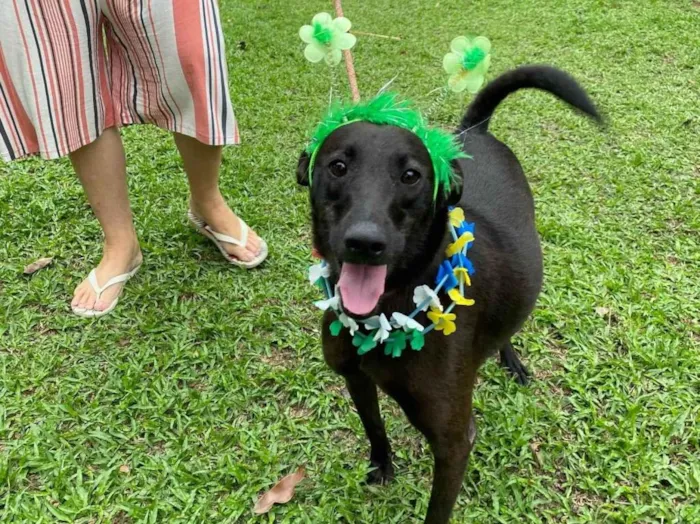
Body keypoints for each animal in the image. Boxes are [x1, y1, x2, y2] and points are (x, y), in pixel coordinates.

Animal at [296, 66, 600, 524]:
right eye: (337, 166)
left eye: (411, 176)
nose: (365, 243)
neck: (390, 310)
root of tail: (476, 131)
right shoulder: (355, 378)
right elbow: (375, 427)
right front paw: (381, 466)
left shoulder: (454, 441)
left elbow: (437, 511)